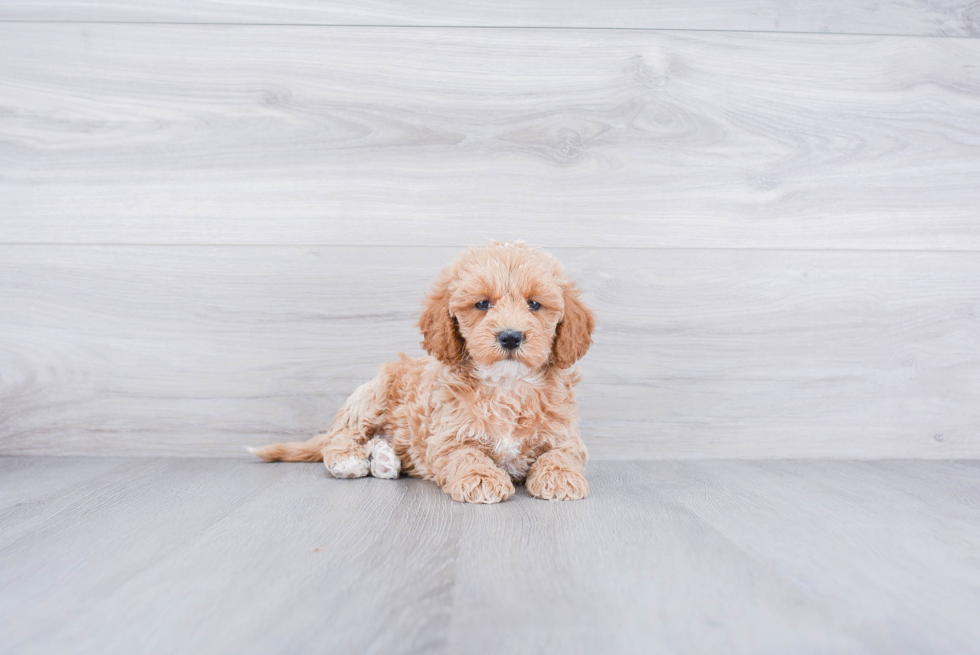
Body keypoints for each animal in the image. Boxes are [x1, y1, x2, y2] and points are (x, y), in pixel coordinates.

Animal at [249, 241, 592, 502]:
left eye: (534, 304)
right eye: (482, 304)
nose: (510, 336)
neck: (507, 383)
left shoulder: (565, 434)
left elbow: (561, 453)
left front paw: (560, 477)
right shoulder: (447, 438)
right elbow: (467, 455)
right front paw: (481, 479)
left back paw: (384, 460)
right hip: (371, 396)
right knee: (340, 436)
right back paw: (349, 460)